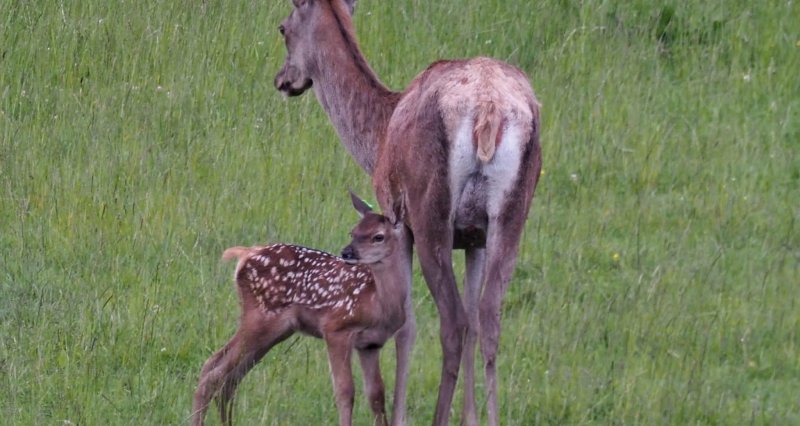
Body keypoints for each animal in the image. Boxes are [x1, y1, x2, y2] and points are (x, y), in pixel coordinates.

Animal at [191, 194, 410, 426]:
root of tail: (246, 254)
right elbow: (345, 391)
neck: (379, 302)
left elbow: (376, 395)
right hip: (259, 318)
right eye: (353, 232)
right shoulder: (336, 327)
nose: (347, 252)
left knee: (229, 375)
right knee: (213, 370)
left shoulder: (371, 344)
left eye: (378, 236)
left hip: (275, 332)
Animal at [276, 1, 544, 424]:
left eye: (282, 28)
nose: (283, 79)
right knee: (488, 318)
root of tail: (489, 109)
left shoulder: (396, 221)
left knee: (452, 322)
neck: (377, 136)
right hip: (513, 214)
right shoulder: (475, 239)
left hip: (431, 211)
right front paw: (469, 417)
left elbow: (406, 325)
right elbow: (473, 321)